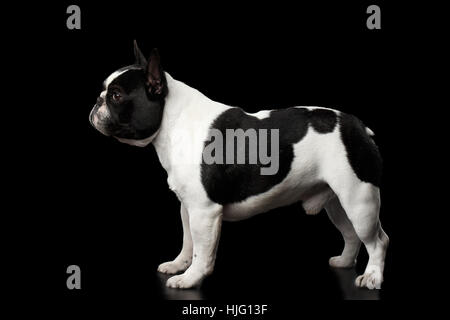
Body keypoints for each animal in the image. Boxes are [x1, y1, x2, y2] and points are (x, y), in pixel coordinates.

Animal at [89, 42, 388, 290]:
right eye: (105, 92)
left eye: (116, 96)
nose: (97, 101)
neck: (173, 120)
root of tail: (358, 126)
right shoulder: (188, 207)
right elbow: (188, 241)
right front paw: (179, 264)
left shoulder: (204, 211)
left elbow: (202, 250)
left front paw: (190, 278)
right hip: (338, 202)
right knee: (351, 234)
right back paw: (345, 262)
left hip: (359, 201)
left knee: (377, 241)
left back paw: (372, 277)